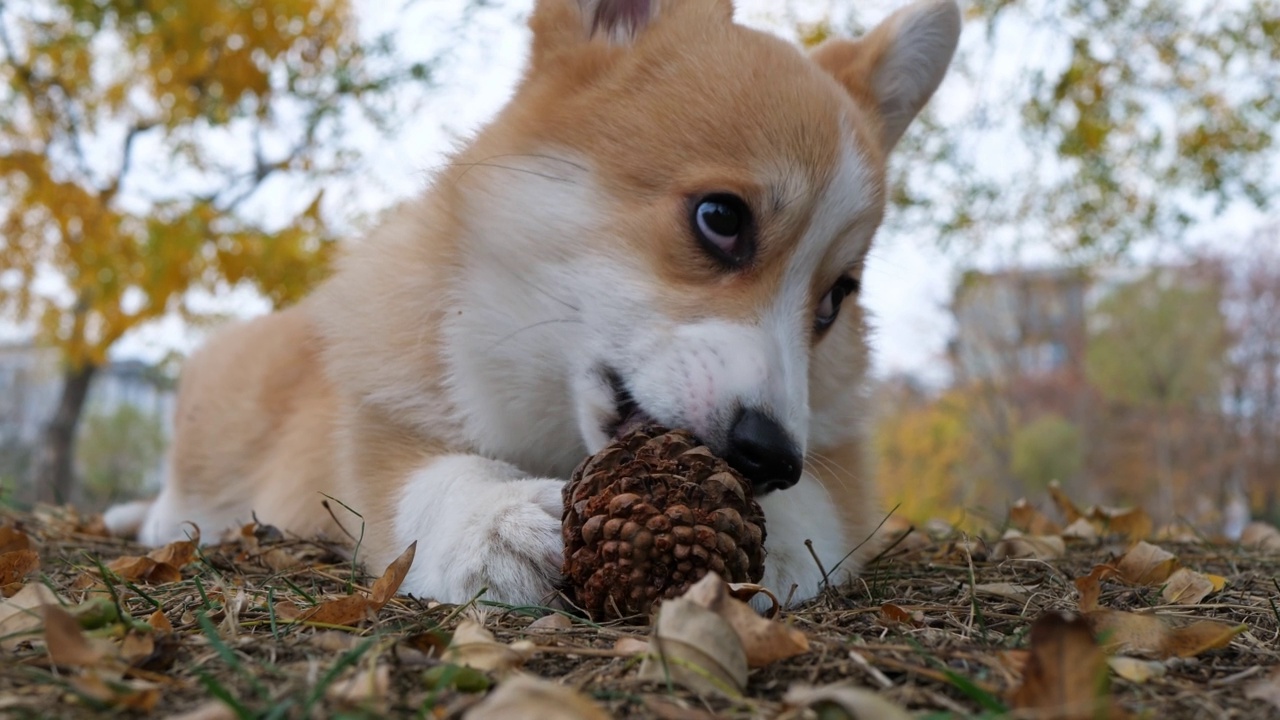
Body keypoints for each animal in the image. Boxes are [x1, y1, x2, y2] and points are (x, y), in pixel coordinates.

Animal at [104, 0, 962, 604]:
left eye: (835, 299)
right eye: (721, 218)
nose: (770, 458)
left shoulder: (843, 464)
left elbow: (822, 509)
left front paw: (777, 536)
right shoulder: (373, 439)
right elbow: (428, 478)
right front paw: (498, 521)